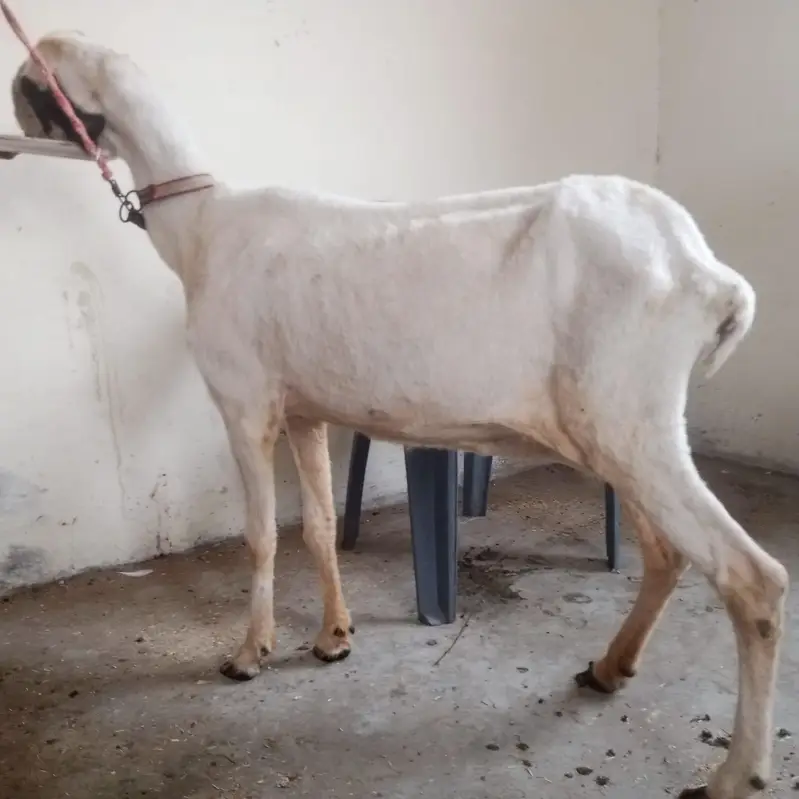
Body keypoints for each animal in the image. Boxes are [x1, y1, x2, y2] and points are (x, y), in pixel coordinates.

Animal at [8, 32, 788, 799]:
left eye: (32, 79)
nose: (15, 138)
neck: (199, 225)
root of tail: (710, 275)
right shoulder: (304, 411)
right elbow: (319, 526)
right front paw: (333, 638)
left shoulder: (243, 400)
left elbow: (261, 535)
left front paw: (248, 653)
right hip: (620, 433)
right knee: (666, 553)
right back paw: (607, 669)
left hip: (630, 422)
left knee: (752, 577)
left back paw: (733, 773)